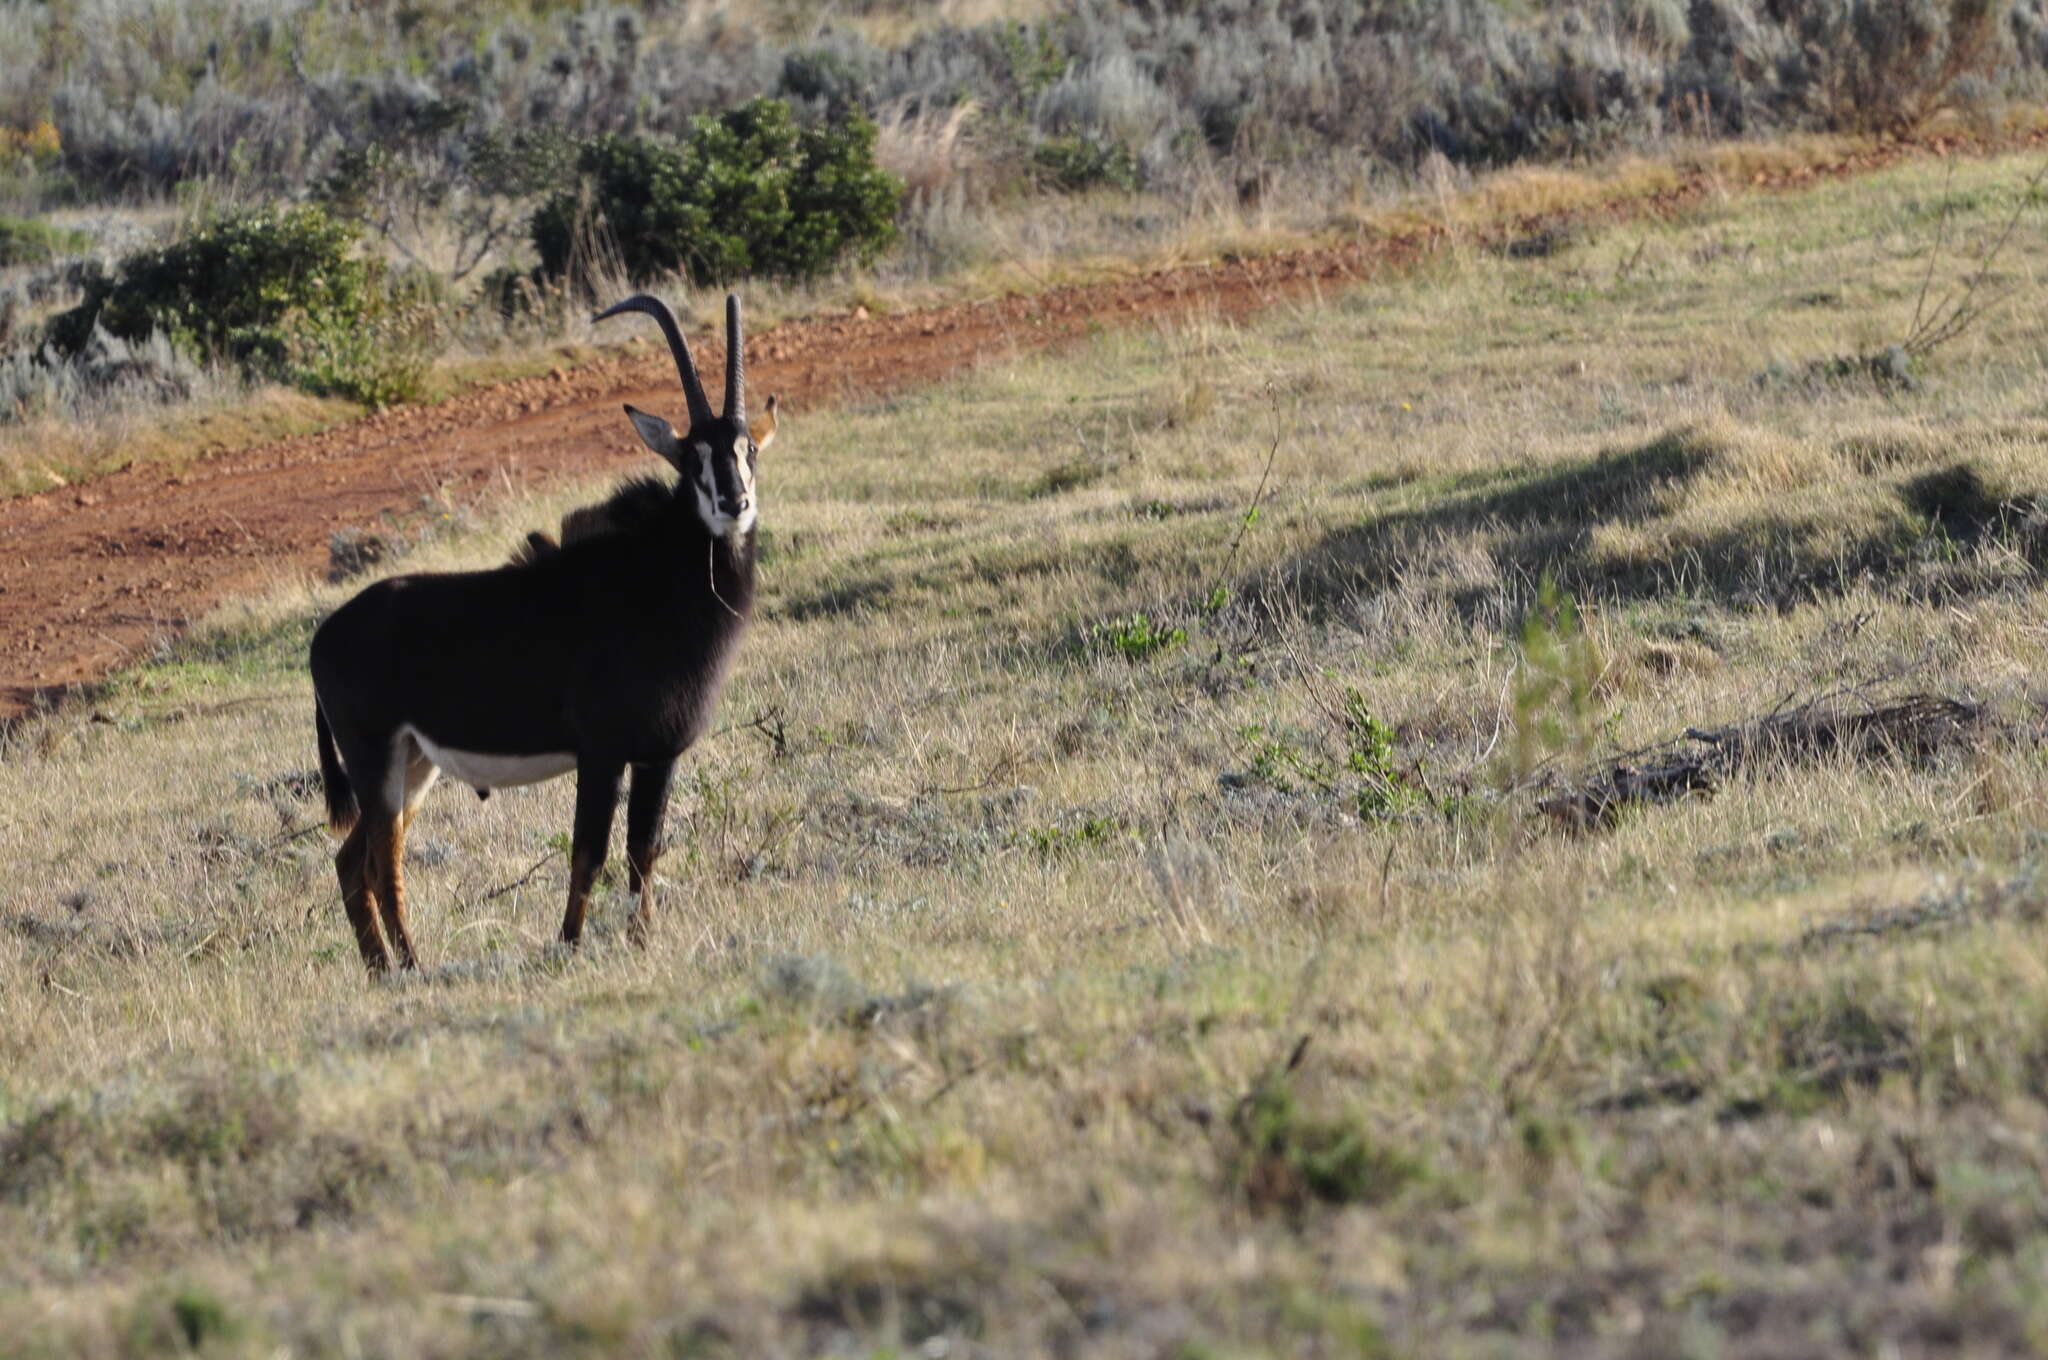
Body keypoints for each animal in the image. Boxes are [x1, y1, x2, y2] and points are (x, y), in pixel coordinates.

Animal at [309, 294, 774, 979]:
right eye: (693, 458)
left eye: (748, 451)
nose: (735, 503)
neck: (658, 578)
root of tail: (322, 637)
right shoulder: (602, 753)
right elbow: (589, 853)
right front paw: (570, 946)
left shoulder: (657, 755)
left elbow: (643, 851)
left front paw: (641, 943)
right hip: (376, 761)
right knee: (379, 864)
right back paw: (413, 969)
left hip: (414, 765)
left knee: (350, 862)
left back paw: (383, 970)